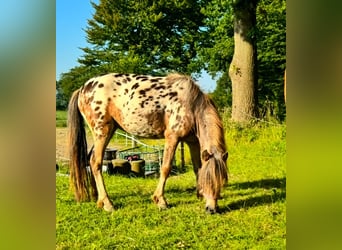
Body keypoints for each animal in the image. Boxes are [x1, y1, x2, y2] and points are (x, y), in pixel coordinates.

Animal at [67, 72, 228, 213]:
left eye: (221, 181)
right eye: (209, 181)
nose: (212, 209)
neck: (191, 104)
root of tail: (83, 88)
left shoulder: (192, 142)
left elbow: (198, 168)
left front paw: (199, 194)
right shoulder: (172, 138)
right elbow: (165, 168)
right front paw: (161, 201)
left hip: (105, 133)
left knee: (91, 160)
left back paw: (98, 198)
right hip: (102, 132)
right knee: (96, 162)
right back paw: (107, 203)